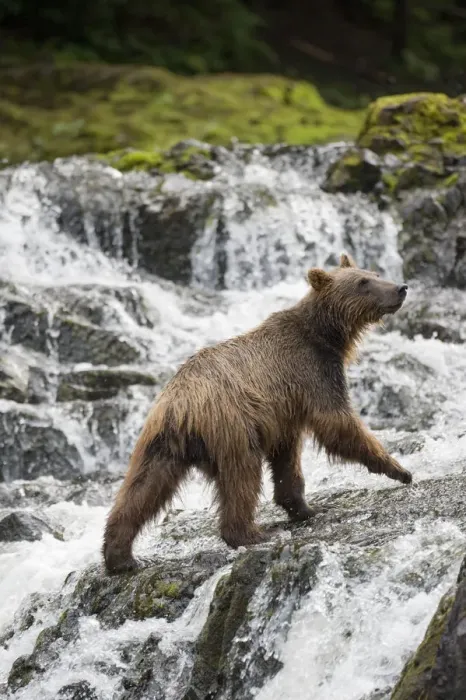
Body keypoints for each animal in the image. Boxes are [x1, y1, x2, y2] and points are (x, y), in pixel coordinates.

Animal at [103, 253, 411, 574]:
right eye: (363, 282)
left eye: (375, 273)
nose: (400, 288)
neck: (329, 336)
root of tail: (180, 405)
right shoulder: (313, 371)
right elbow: (337, 423)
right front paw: (398, 469)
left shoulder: (285, 412)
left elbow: (287, 459)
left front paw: (304, 507)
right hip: (233, 427)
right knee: (242, 479)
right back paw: (251, 534)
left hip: (161, 444)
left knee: (142, 490)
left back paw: (120, 556)